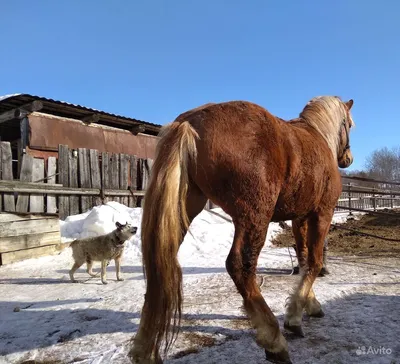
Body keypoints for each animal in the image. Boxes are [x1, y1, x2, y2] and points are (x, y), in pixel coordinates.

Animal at [130, 96, 354, 364]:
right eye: (349, 124)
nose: (348, 158)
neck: (317, 136)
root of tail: (190, 123)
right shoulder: (322, 214)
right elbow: (315, 262)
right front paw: (293, 318)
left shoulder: (299, 219)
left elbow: (303, 259)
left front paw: (309, 305)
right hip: (254, 217)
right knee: (240, 266)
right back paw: (274, 341)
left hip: (185, 209)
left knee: (159, 267)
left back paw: (144, 351)